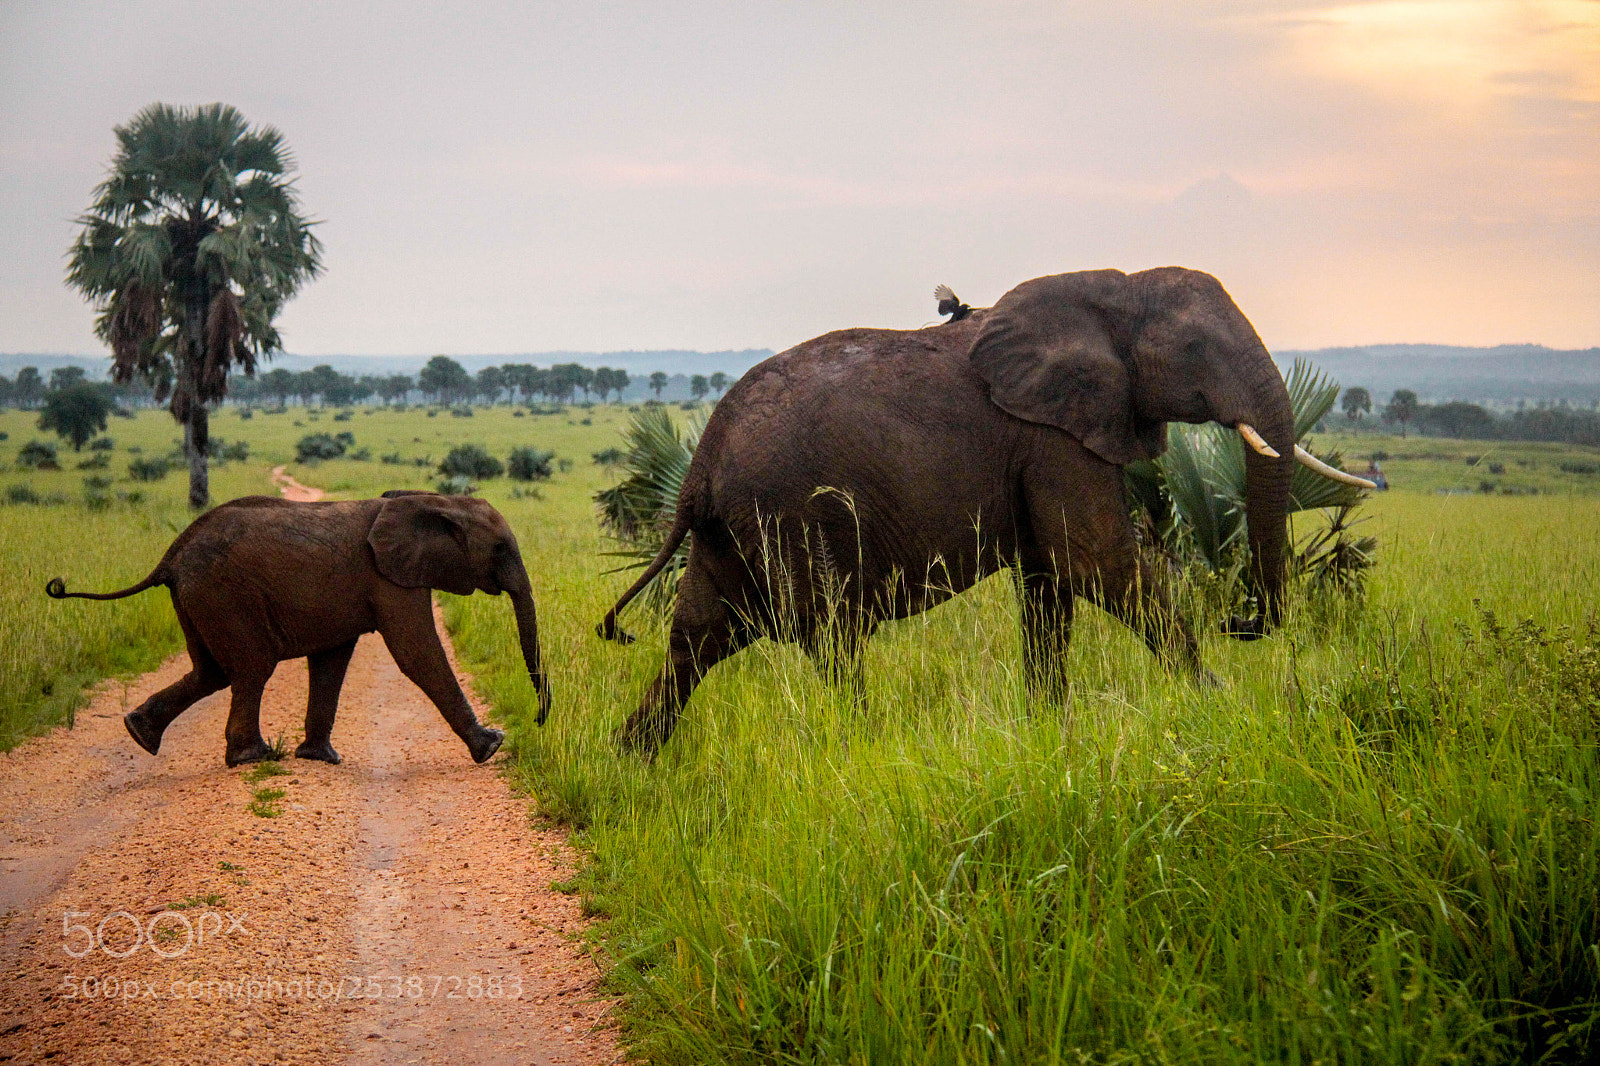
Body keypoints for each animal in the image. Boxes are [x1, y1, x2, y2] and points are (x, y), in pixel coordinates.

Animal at [47, 490, 550, 767]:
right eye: (500, 548)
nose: (538, 720)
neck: (434, 501)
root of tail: (171, 554)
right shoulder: (388, 578)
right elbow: (417, 654)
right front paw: (491, 747)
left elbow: (332, 661)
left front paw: (320, 758)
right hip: (224, 593)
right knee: (250, 668)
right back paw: (253, 757)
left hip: (197, 597)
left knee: (211, 672)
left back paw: (139, 734)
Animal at [597, 267, 1370, 754]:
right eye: (1193, 349)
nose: (1241, 623)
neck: (1114, 286)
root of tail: (700, 463)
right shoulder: (1055, 438)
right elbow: (1096, 563)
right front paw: (1218, 702)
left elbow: (1050, 587)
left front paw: (1049, 732)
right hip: (789, 515)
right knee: (832, 638)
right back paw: (865, 745)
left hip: (733, 529)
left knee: (697, 637)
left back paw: (627, 758)